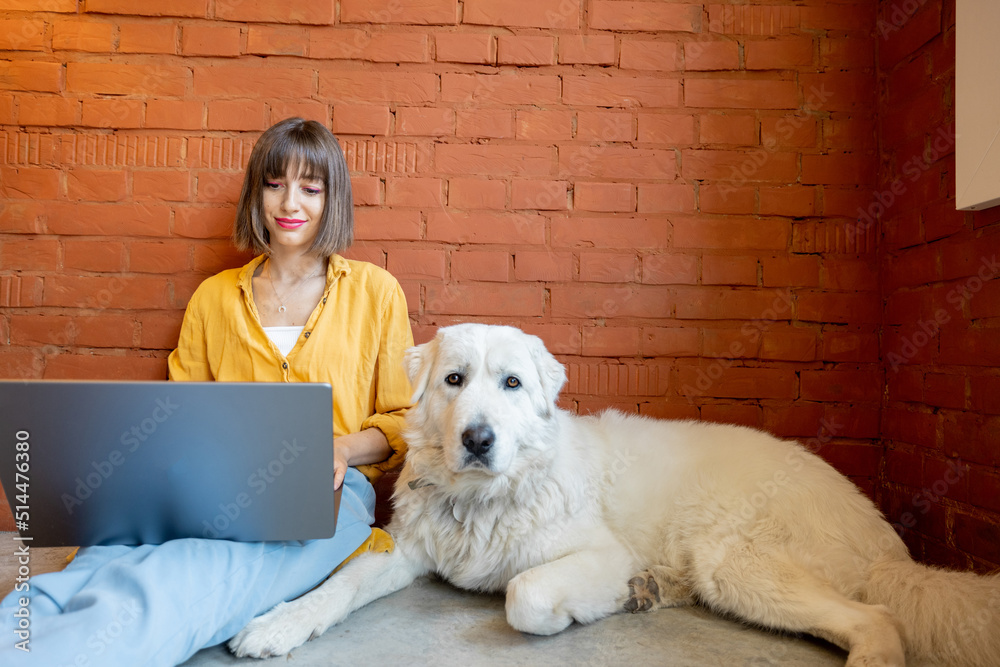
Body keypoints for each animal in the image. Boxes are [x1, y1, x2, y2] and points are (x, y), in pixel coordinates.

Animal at [229, 324, 1000, 667]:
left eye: (512, 383)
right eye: (453, 380)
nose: (478, 438)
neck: (489, 495)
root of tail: (886, 547)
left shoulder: (598, 552)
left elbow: (524, 593)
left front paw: (579, 609)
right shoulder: (409, 551)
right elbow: (338, 587)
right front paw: (278, 624)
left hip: (733, 560)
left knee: (877, 619)